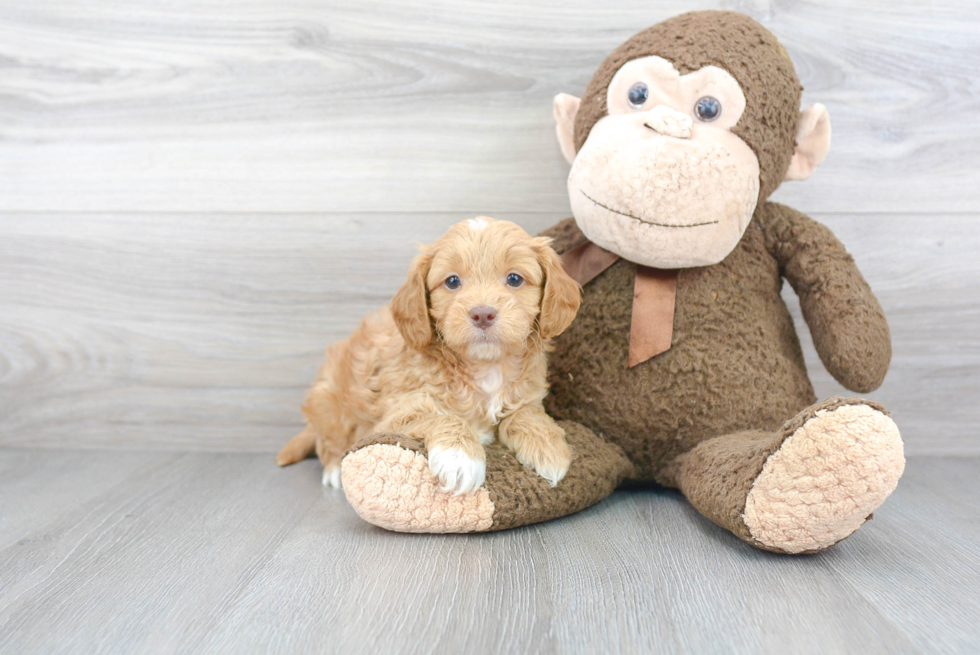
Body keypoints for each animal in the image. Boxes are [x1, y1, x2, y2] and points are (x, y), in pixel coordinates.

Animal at [276, 218, 580, 494]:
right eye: (452, 281)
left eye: (514, 278)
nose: (482, 314)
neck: (485, 366)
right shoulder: (395, 415)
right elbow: (441, 416)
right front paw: (460, 459)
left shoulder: (526, 396)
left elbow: (526, 413)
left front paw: (549, 449)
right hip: (327, 401)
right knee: (327, 441)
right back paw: (334, 470)